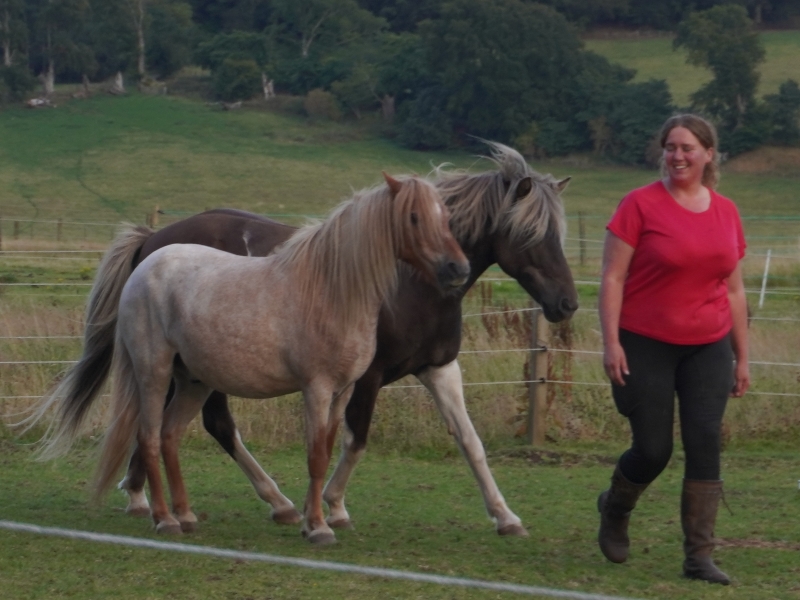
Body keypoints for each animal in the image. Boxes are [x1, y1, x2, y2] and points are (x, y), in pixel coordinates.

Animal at [28, 173, 470, 544]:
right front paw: (317, 527)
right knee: (150, 437)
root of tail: (148, 259)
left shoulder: (343, 390)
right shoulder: (317, 388)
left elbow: (328, 451)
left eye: (446, 216)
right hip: (154, 372)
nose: (458, 268)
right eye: (413, 216)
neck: (331, 292)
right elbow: (315, 455)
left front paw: (315, 518)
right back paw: (165, 518)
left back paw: (186, 515)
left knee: (170, 435)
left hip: (194, 381)